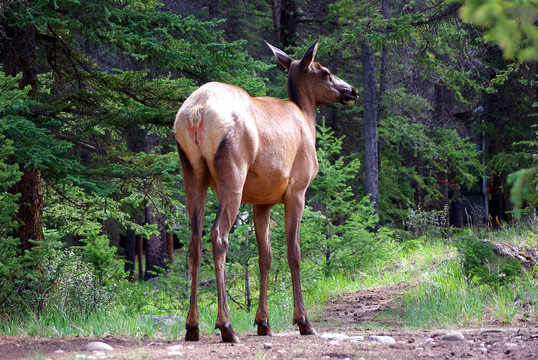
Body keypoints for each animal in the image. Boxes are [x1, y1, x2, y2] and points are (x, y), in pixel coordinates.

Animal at [173, 40, 356, 342]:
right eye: (326, 72)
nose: (352, 90)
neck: (307, 118)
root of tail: (197, 113)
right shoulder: (297, 191)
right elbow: (294, 253)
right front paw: (303, 321)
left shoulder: (262, 201)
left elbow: (265, 257)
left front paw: (263, 323)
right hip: (232, 175)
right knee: (218, 236)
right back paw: (226, 325)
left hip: (192, 173)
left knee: (194, 241)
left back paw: (192, 326)